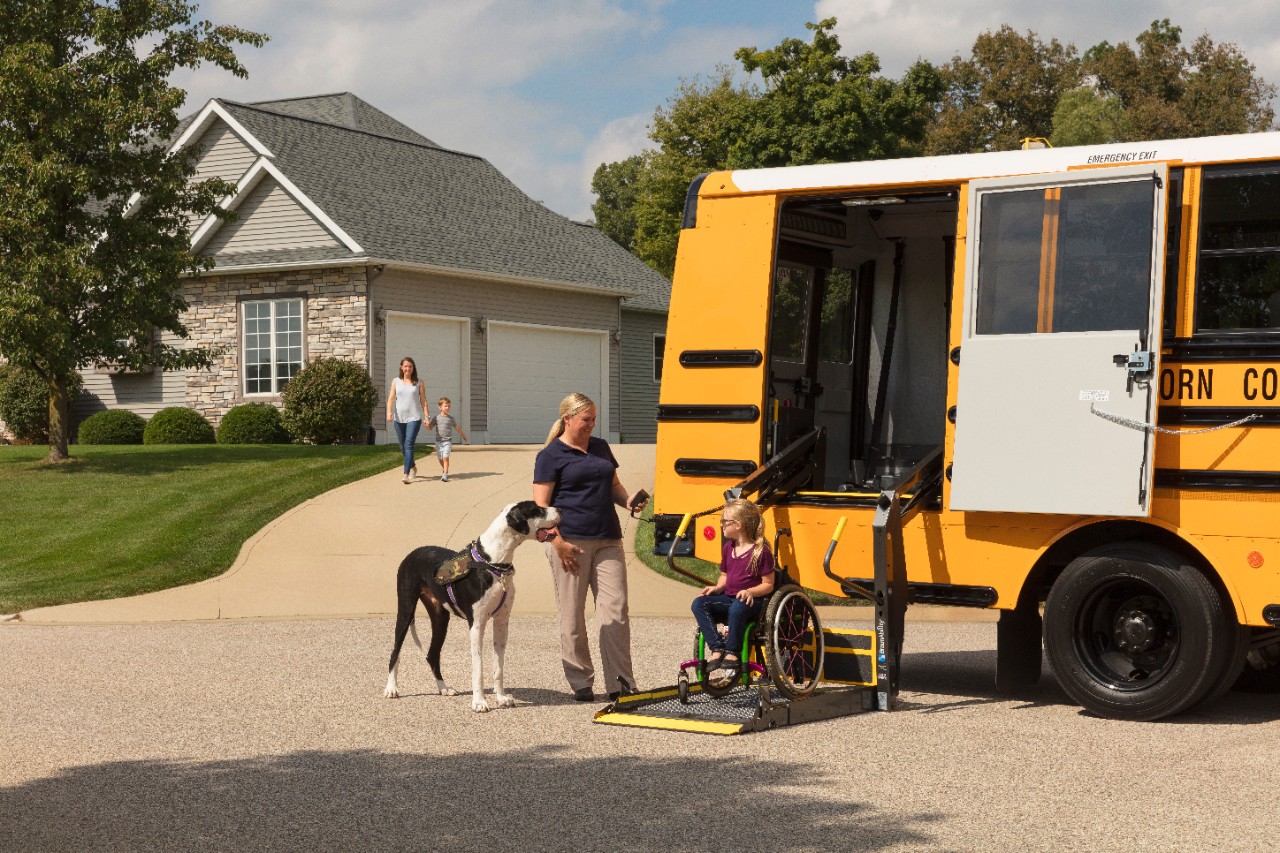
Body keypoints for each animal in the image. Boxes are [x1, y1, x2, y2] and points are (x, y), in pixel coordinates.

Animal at [381, 499, 558, 712]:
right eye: (536, 509)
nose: (559, 509)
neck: (493, 562)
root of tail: (412, 553)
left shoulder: (501, 623)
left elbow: (499, 667)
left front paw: (501, 698)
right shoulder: (476, 625)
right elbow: (478, 668)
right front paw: (479, 702)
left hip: (441, 619)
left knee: (432, 654)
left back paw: (444, 688)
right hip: (406, 610)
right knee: (395, 651)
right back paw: (391, 689)